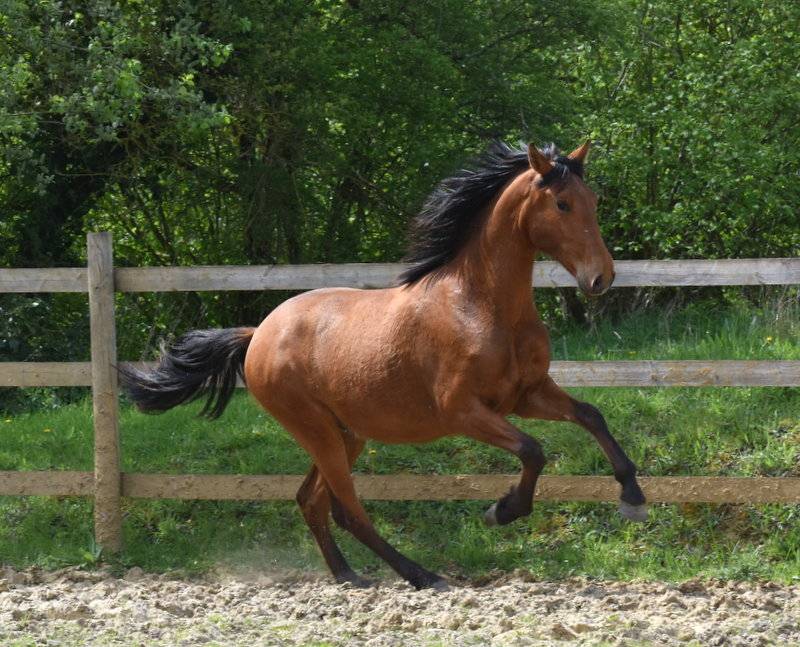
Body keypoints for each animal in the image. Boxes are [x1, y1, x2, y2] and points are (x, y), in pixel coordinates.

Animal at [120, 140, 647, 591]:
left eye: (592, 200)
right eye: (562, 204)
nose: (601, 278)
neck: (480, 305)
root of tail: (258, 335)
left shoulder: (527, 394)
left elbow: (591, 416)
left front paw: (633, 499)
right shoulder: (463, 411)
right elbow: (534, 451)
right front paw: (502, 510)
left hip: (346, 433)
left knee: (312, 500)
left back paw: (348, 576)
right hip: (316, 430)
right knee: (348, 510)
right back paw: (421, 575)